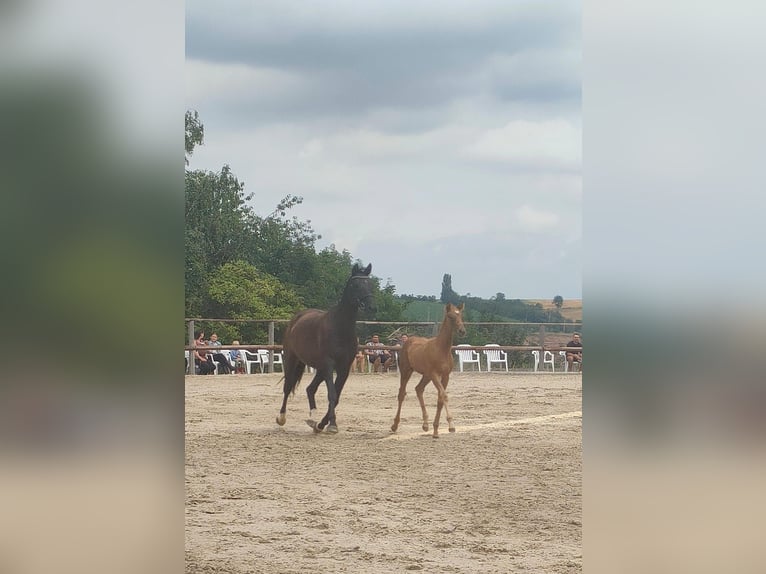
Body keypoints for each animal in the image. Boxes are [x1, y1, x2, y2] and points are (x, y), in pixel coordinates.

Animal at [278, 264, 376, 434]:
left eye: (369, 284)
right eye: (355, 285)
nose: (371, 307)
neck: (340, 328)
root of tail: (296, 319)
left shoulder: (344, 368)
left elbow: (336, 397)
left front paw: (322, 424)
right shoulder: (329, 365)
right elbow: (332, 394)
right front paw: (332, 425)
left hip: (319, 368)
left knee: (310, 389)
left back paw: (313, 420)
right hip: (292, 360)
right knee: (288, 386)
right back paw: (282, 418)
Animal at [390, 304, 468, 438]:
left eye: (460, 315)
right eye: (450, 316)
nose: (462, 331)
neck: (441, 349)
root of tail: (408, 341)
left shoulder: (445, 376)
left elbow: (440, 399)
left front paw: (436, 431)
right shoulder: (435, 375)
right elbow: (444, 395)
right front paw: (451, 426)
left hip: (426, 375)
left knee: (418, 389)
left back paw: (425, 424)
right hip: (407, 371)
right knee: (401, 394)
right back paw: (395, 425)